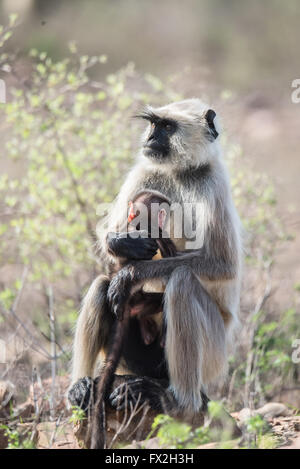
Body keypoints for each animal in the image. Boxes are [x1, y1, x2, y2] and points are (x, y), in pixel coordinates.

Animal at [68, 98, 241, 420]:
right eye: (153, 124)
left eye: (168, 127)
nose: (149, 138)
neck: (180, 171)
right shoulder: (144, 172)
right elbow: (107, 237)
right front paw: (122, 243)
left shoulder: (213, 183)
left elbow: (224, 265)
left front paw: (132, 273)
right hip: (136, 358)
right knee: (101, 285)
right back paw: (79, 386)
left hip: (214, 356)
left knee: (182, 282)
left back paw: (179, 401)